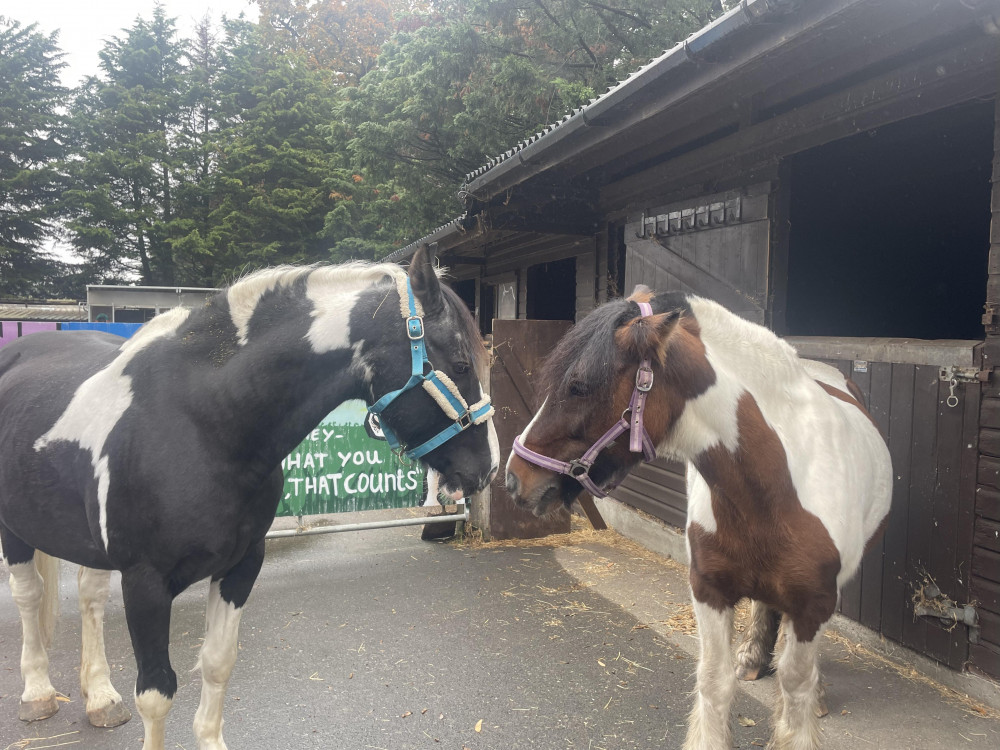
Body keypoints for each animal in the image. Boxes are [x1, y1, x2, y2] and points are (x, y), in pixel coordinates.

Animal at [0, 248, 498, 750]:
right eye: (460, 363)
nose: (489, 466)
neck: (200, 421)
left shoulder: (241, 565)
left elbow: (217, 664)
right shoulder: (145, 583)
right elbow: (156, 693)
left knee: (89, 598)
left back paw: (100, 697)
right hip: (15, 530)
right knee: (29, 595)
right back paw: (38, 693)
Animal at [508, 290, 892, 750]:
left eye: (578, 386)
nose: (513, 477)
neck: (777, 485)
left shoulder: (811, 604)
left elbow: (796, 688)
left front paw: (804, 699)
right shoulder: (709, 591)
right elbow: (714, 682)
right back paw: (753, 657)